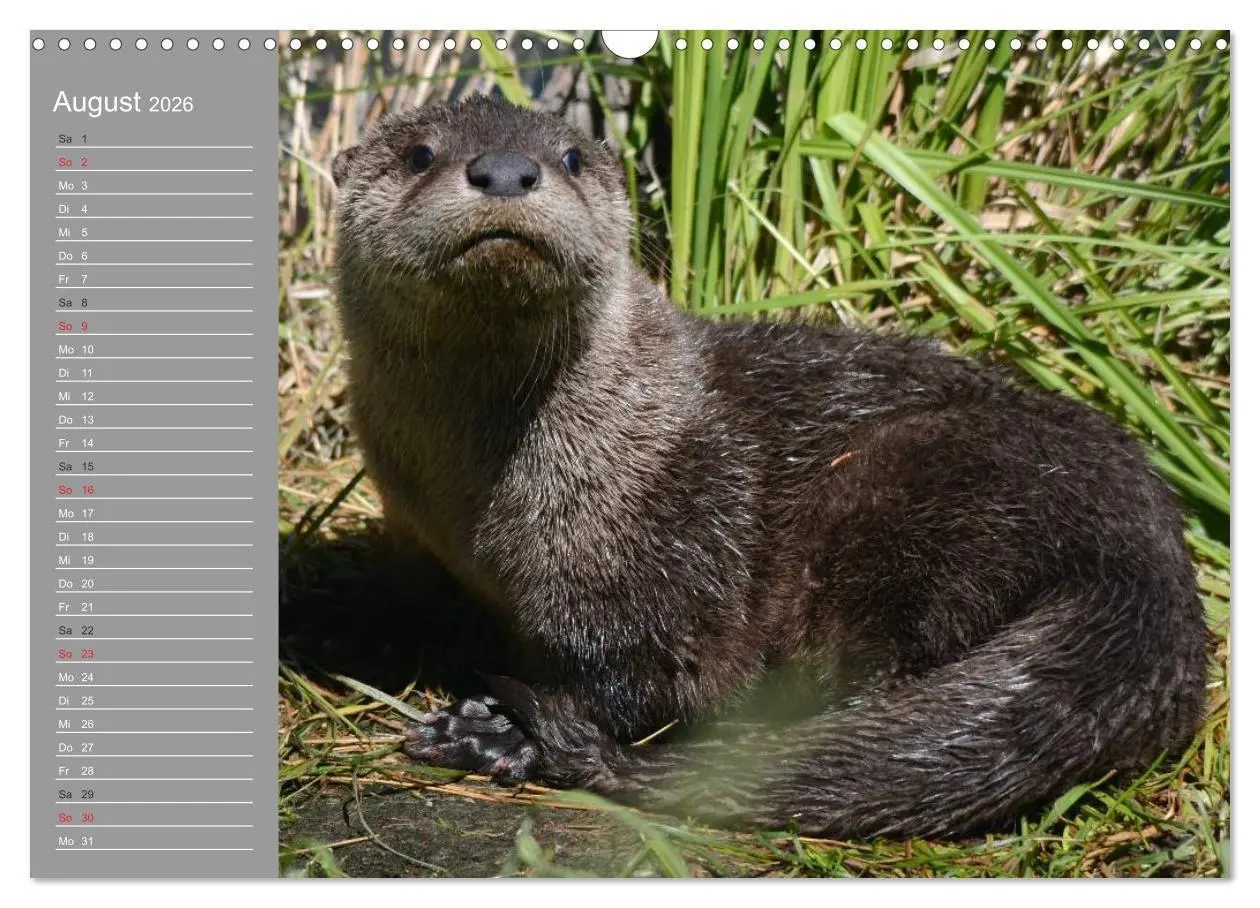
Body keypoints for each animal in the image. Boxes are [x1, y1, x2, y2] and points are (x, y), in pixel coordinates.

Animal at [330, 95, 1206, 838]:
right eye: (418, 154)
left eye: (572, 156)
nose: (509, 170)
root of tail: (1147, 564)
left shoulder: (665, 551)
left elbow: (642, 679)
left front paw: (497, 730)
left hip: (913, 491)